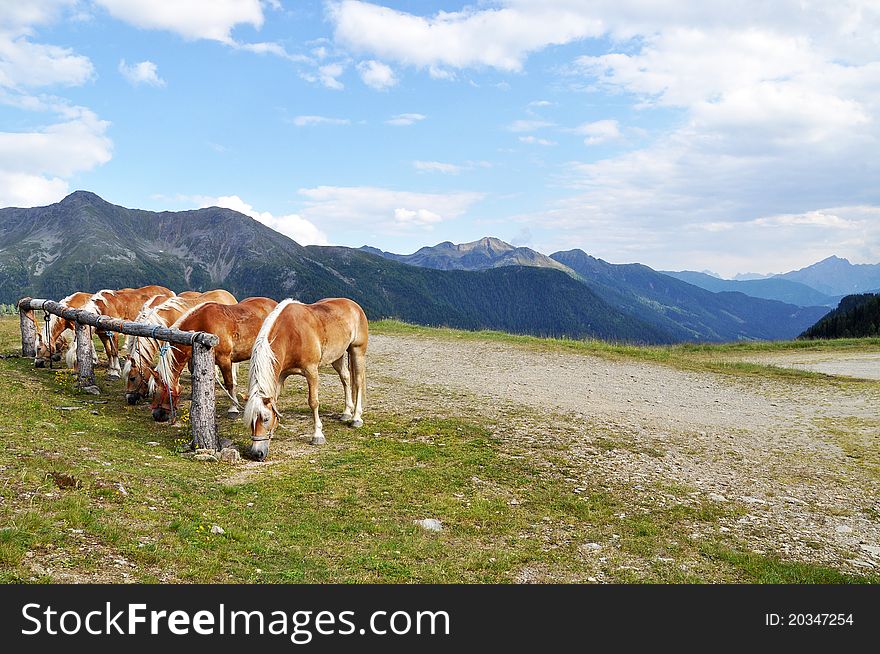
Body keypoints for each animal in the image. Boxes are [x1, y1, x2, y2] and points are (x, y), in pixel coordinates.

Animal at [150, 298, 276, 426]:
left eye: (160, 390)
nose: (157, 415)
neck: (201, 324)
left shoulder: (224, 360)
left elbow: (229, 384)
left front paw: (233, 408)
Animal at [241, 298, 368, 462]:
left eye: (266, 418)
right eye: (250, 420)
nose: (257, 454)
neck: (291, 334)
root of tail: (354, 305)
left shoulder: (311, 371)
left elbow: (313, 402)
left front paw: (318, 435)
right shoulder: (280, 376)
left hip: (357, 351)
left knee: (357, 382)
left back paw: (356, 418)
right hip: (337, 356)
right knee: (345, 378)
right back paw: (346, 412)